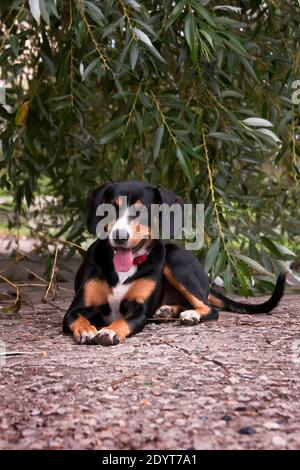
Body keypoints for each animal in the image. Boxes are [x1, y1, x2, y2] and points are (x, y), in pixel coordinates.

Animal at [63, 180, 286, 346]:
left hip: (175, 262)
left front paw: (109, 332)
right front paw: (86, 329)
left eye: (141, 212)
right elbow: (77, 318)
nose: (119, 237)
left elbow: (121, 321)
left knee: (208, 308)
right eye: (111, 209)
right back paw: (167, 310)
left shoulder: (139, 312)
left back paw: (191, 315)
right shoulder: (75, 309)